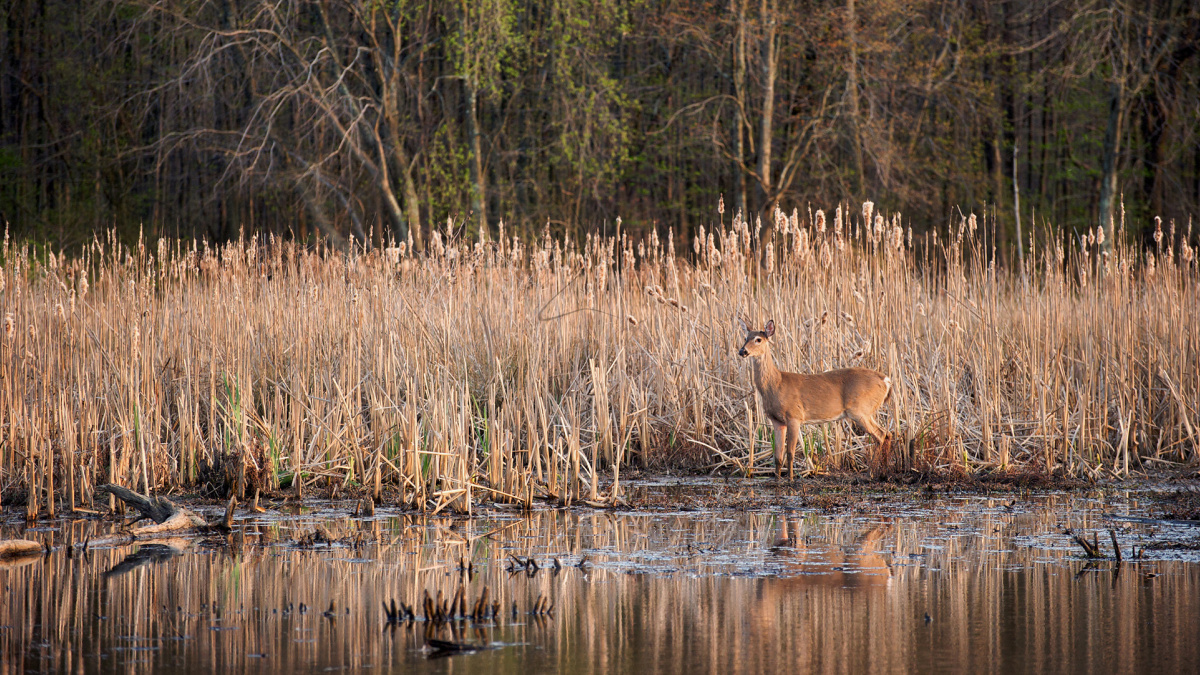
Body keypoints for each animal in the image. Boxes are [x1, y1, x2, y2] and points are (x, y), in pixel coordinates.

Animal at [734, 317, 897, 478]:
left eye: (758, 339)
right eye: (745, 337)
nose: (742, 351)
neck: (776, 384)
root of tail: (886, 380)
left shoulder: (794, 416)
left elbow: (790, 453)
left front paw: (790, 480)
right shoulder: (777, 421)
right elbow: (778, 457)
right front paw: (778, 479)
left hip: (860, 410)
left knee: (880, 435)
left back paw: (871, 473)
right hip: (866, 411)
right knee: (887, 434)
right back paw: (884, 471)